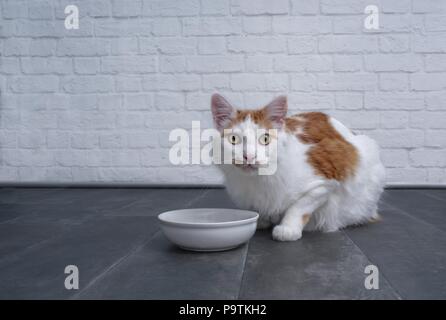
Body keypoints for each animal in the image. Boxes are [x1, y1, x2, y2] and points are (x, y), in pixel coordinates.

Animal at [211, 94, 386, 241]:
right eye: (234, 139)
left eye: (265, 139)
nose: (249, 156)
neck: (257, 181)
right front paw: (261, 220)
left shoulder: (326, 181)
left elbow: (299, 207)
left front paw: (287, 229)